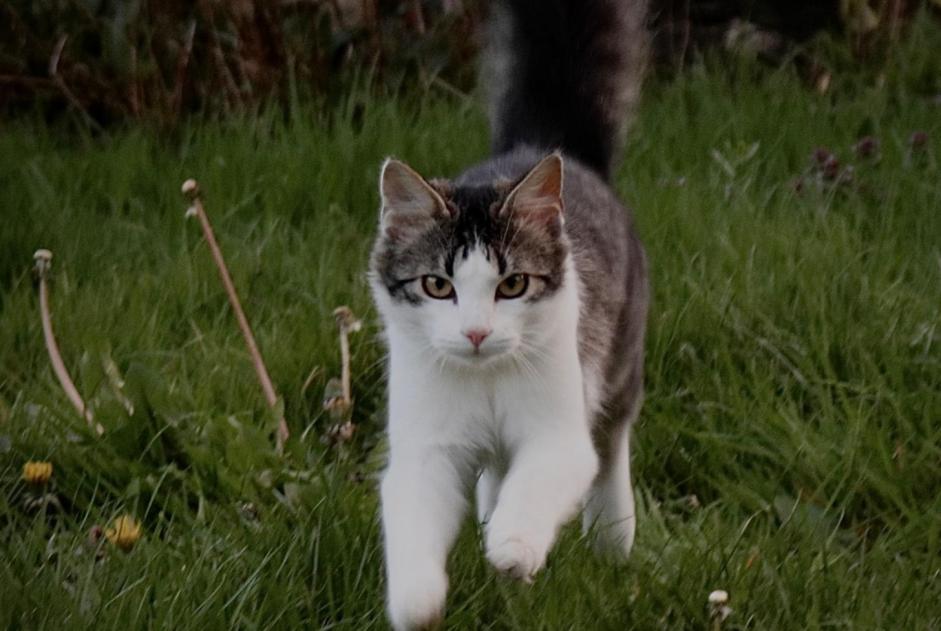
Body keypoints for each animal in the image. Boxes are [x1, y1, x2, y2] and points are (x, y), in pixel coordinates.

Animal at [368, 2, 648, 628]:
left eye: (512, 284)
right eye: (438, 285)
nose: (476, 332)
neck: (486, 380)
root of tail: (545, 145)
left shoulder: (558, 432)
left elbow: (537, 484)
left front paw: (513, 547)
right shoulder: (427, 448)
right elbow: (414, 522)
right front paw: (417, 601)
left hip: (620, 360)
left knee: (611, 446)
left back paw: (612, 536)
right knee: (496, 475)